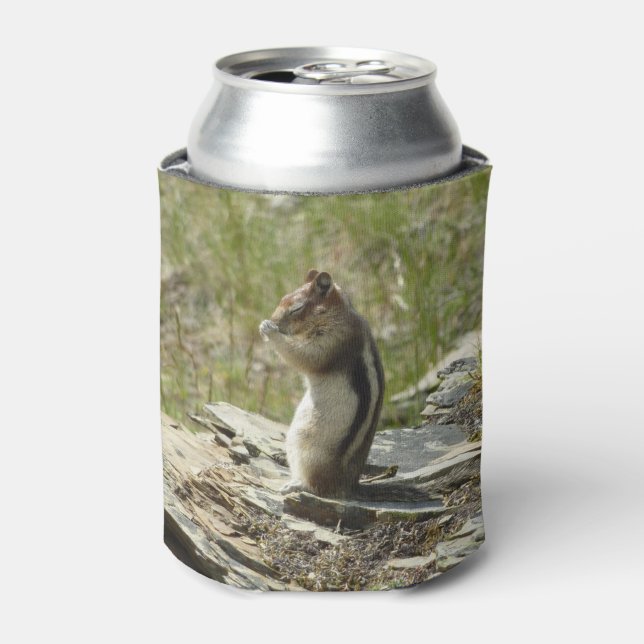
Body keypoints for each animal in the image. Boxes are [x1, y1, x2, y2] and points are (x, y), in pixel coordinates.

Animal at [259, 269, 385, 499]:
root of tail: (347, 485)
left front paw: (269, 330)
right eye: (283, 298)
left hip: (307, 447)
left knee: (316, 486)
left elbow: (305, 356)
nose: (273, 320)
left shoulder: (333, 340)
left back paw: (296, 485)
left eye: (296, 308)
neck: (337, 313)